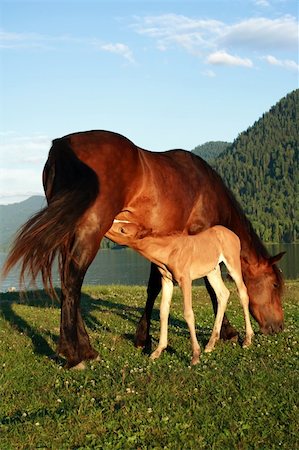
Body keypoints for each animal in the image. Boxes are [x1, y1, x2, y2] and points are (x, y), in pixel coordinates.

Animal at [109, 222, 254, 366]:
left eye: (122, 229)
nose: (108, 225)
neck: (168, 252)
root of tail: (233, 235)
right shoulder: (167, 281)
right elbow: (163, 312)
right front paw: (158, 351)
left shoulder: (185, 280)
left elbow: (188, 313)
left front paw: (195, 356)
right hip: (212, 271)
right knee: (223, 294)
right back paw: (210, 344)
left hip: (233, 264)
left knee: (243, 293)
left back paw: (247, 339)